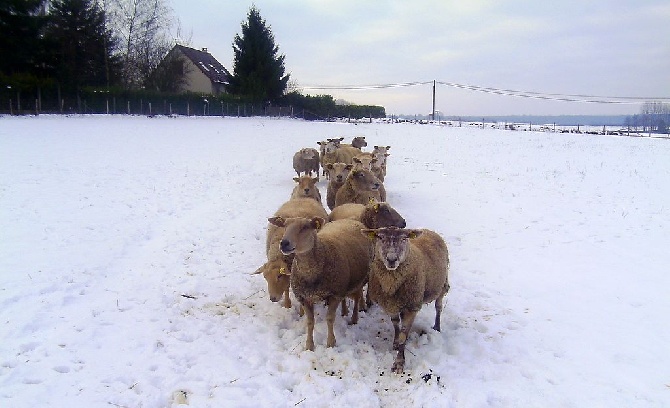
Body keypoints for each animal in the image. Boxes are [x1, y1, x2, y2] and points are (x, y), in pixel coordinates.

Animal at [274, 217, 376, 350]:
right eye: (285, 226)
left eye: (305, 227)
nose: (284, 243)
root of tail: (350, 219)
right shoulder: (304, 298)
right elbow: (310, 322)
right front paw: (309, 345)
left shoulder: (335, 295)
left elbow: (330, 319)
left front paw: (331, 343)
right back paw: (344, 312)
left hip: (359, 279)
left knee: (358, 297)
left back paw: (354, 319)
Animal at [362, 226, 452, 372]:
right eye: (380, 237)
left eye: (404, 238)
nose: (391, 259)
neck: (391, 283)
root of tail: (428, 230)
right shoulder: (391, 304)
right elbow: (395, 324)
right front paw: (395, 342)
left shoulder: (411, 307)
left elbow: (403, 336)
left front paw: (399, 362)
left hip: (442, 284)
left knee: (438, 306)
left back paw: (437, 327)